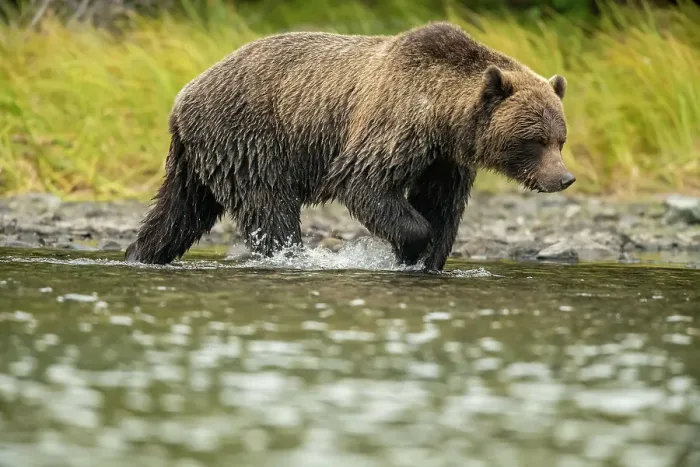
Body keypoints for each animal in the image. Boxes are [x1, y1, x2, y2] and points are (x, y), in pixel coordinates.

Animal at [124, 21, 575, 272]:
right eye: (535, 140)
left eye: (560, 139)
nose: (565, 178)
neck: (442, 117)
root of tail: (182, 98)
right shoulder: (395, 122)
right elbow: (364, 181)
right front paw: (411, 246)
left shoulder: (445, 159)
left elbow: (442, 204)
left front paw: (429, 258)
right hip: (247, 138)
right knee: (269, 207)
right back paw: (288, 256)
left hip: (200, 156)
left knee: (179, 211)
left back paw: (140, 253)